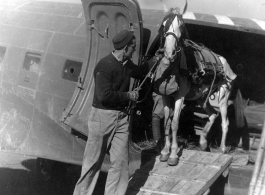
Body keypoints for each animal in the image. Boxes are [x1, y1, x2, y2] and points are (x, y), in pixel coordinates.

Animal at [154, 1, 244, 166]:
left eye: (181, 25)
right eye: (164, 25)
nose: (169, 52)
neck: (173, 69)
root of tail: (223, 61)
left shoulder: (180, 97)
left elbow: (175, 123)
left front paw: (173, 155)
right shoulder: (165, 96)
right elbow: (166, 123)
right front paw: (164, 152)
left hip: (223, 98)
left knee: (225, 122)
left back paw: (222, 149)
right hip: (202, 98)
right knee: (213, 114)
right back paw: (202, 142)